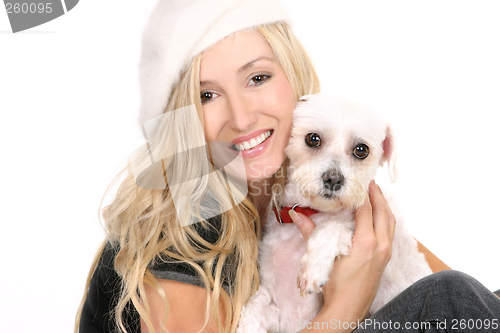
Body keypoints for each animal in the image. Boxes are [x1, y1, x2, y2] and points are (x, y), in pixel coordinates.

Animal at [236, 93, 432, 332]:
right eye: (313, 139)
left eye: (361, 150)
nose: (333, 179)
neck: (312, 212)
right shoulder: (276, 304)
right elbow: (253, 308)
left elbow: (330, 229)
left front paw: (312, 269)